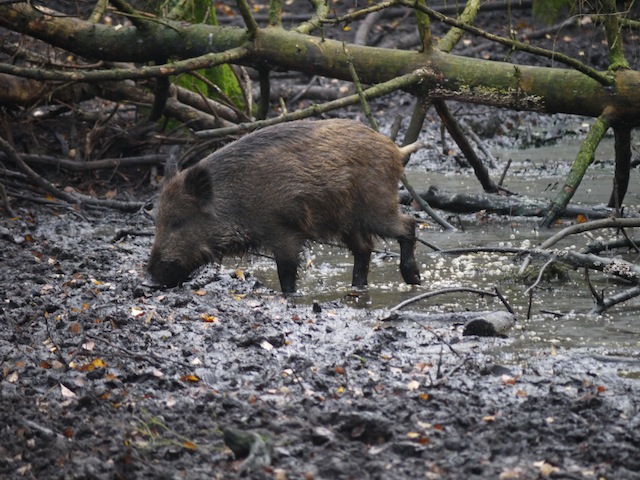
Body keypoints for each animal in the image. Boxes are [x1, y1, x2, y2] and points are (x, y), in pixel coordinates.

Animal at [146, 119, 422, 294]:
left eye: (178, 221)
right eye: (156, 221)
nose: (149, 280)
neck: (236, 199)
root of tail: (395, 149)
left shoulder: (284, 230)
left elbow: (287, 271)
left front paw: (288, 295)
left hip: (377, 207)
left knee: (408, 225)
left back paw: (413, 279)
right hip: (346, 221)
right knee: (364, 248)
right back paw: (357, 287)